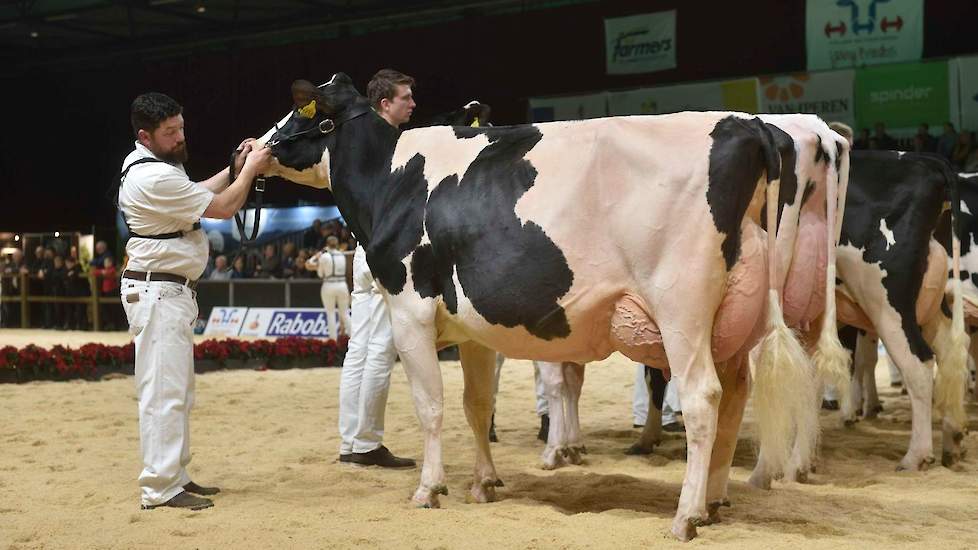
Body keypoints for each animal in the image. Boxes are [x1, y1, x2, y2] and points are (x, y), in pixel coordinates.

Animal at [258, 74, 848, 544]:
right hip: (737, 318)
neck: (394, 178)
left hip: (682, 309)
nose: (250, 147)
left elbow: (432, 406)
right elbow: (477, 405)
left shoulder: (409, 310)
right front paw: (484, 482)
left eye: (297, 111)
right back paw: (715, 500)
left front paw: (429, 488)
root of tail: (749, 127)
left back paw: (685, 516)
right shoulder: (472, 330)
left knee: (703, 398)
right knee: (735, 399)